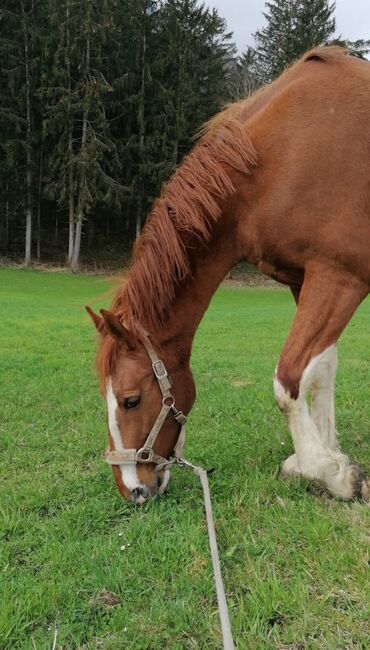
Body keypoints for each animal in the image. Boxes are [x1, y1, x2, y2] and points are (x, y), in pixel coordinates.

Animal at [87, 48, 370, 504]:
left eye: (130, 401)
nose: (132, 490)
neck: (281, 157)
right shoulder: (304, 281)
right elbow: (322, 370)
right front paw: (329, 456)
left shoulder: (339, 278)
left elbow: (289, 380)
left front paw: (330, 473)